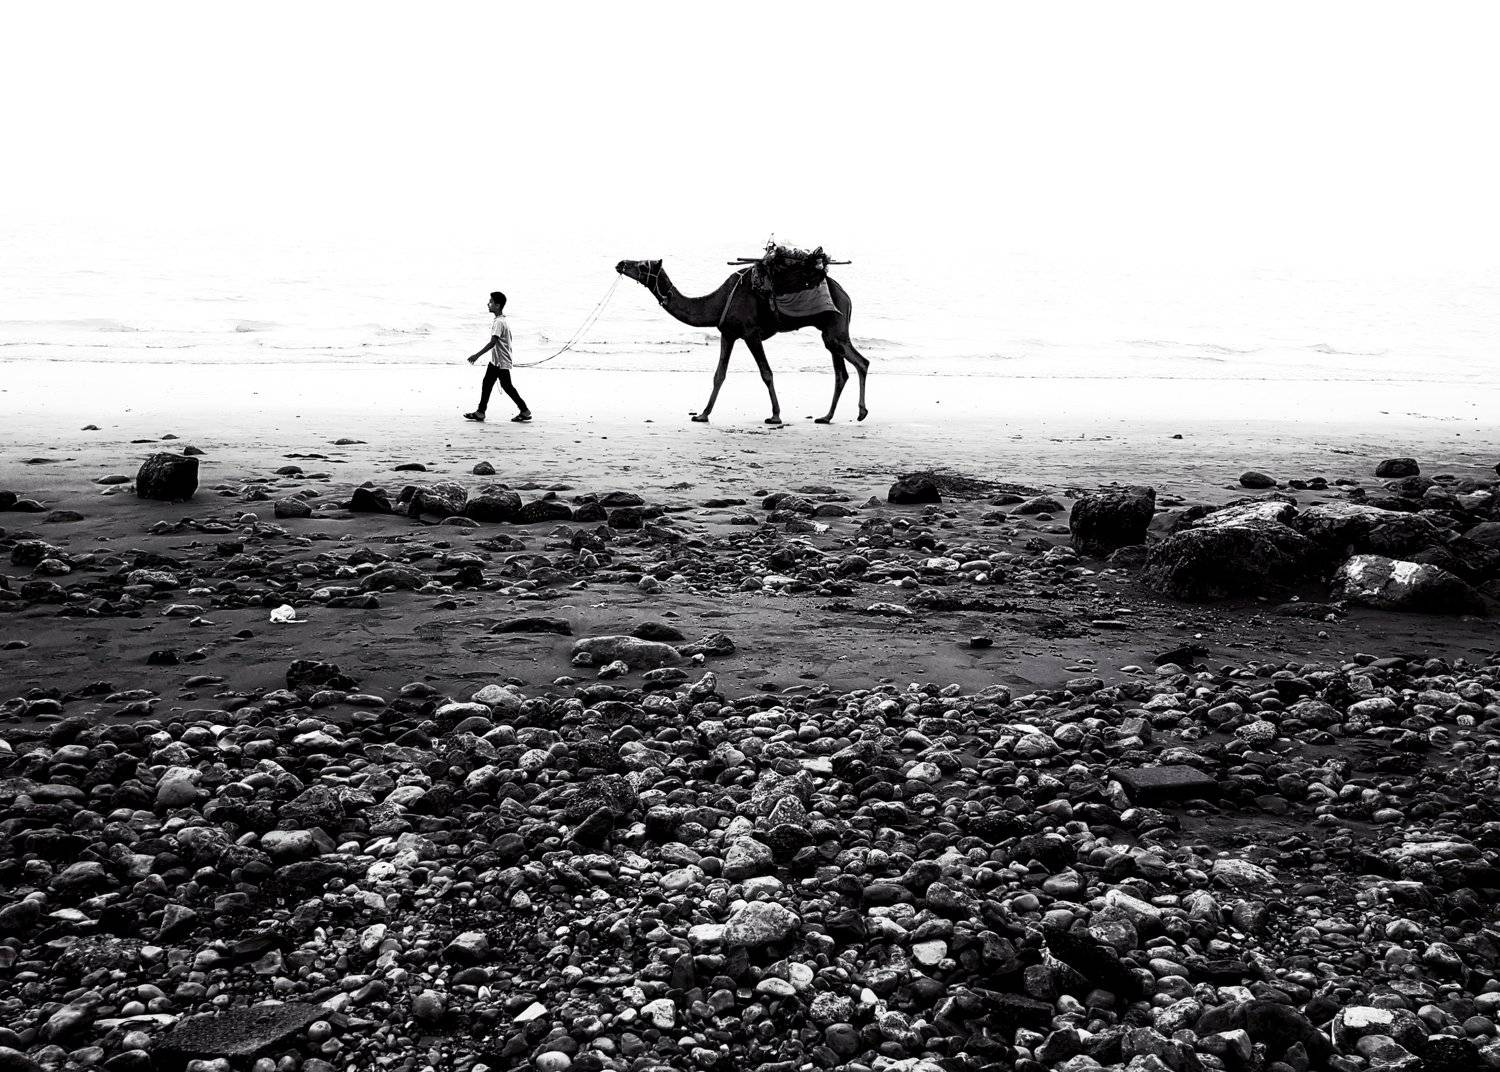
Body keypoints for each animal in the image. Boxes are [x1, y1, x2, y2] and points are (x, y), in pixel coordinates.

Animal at [615, 259, 870, 424]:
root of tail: (847, 296)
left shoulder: (750, 333)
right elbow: (719, 374)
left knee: (861, 362)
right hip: (829, 332)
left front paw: (775, 415)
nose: (620, 263)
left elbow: (766, 373)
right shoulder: (728, 333)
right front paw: (702, 414)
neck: (718, 303)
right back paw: (826, 417)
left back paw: (860, 413)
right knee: (841, 373)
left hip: (835, 328)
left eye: (642, 265)